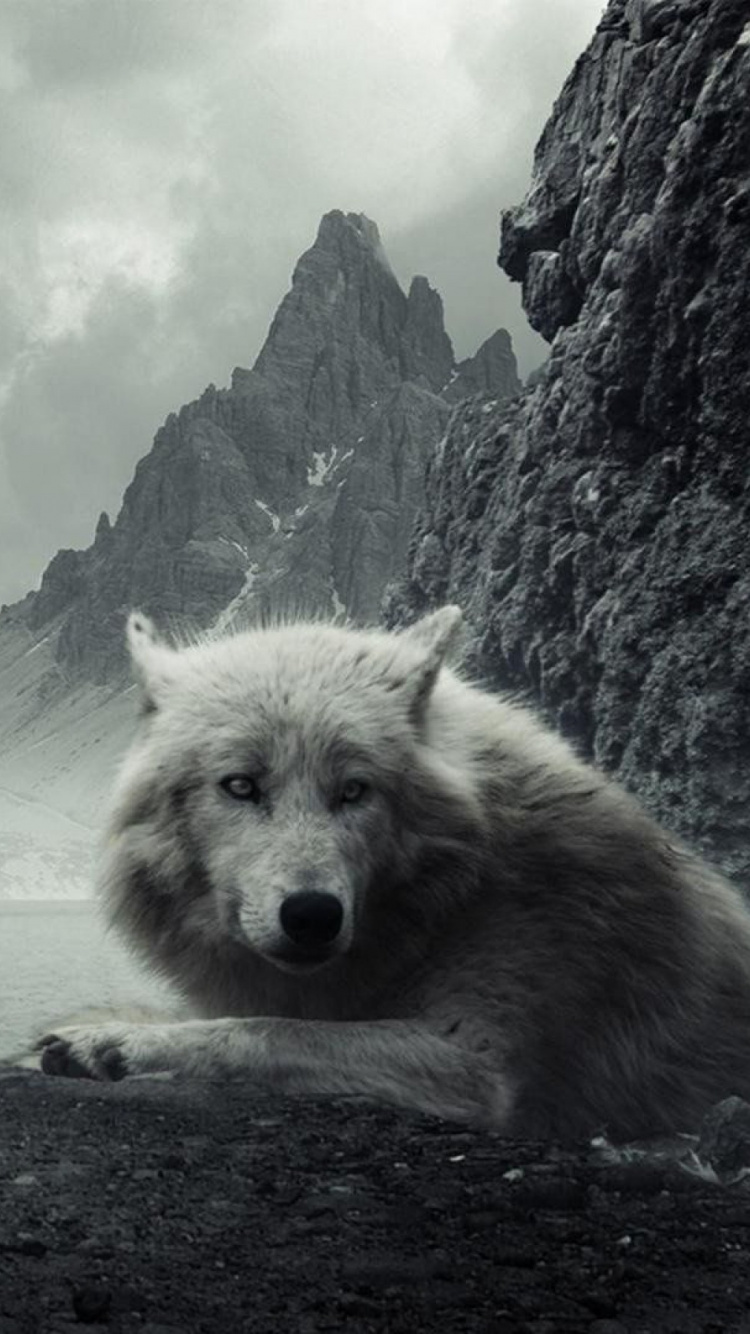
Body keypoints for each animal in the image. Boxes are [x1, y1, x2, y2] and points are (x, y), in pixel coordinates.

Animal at [37, 607, 750, 1139]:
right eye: (240, 785)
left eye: (355, 790)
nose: (312, 916)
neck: (452, 899)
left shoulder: (475, 1065)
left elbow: (264, 1031)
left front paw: (115, 1043)